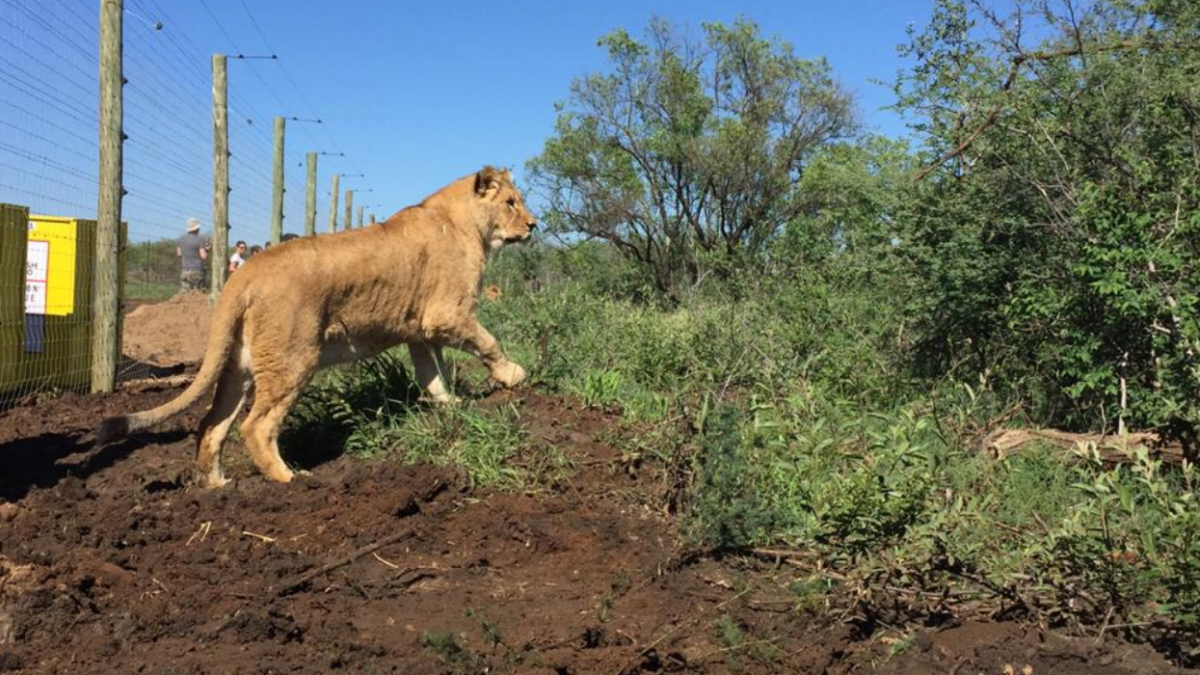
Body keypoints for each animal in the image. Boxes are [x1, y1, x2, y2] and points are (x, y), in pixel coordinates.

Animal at [96, 165, 537, 485]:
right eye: (512, 203)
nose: (534, 225)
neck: (467, 224)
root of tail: (244, 273)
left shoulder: (420, 330)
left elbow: (433, 373)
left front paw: (451, 406)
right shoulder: (447, 315)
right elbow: (488, 342)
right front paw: (514, 375)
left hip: (239, 367)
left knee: (211, 424)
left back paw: (218, 485)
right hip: (293, 359)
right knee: (255, 427)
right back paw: (291, 479)